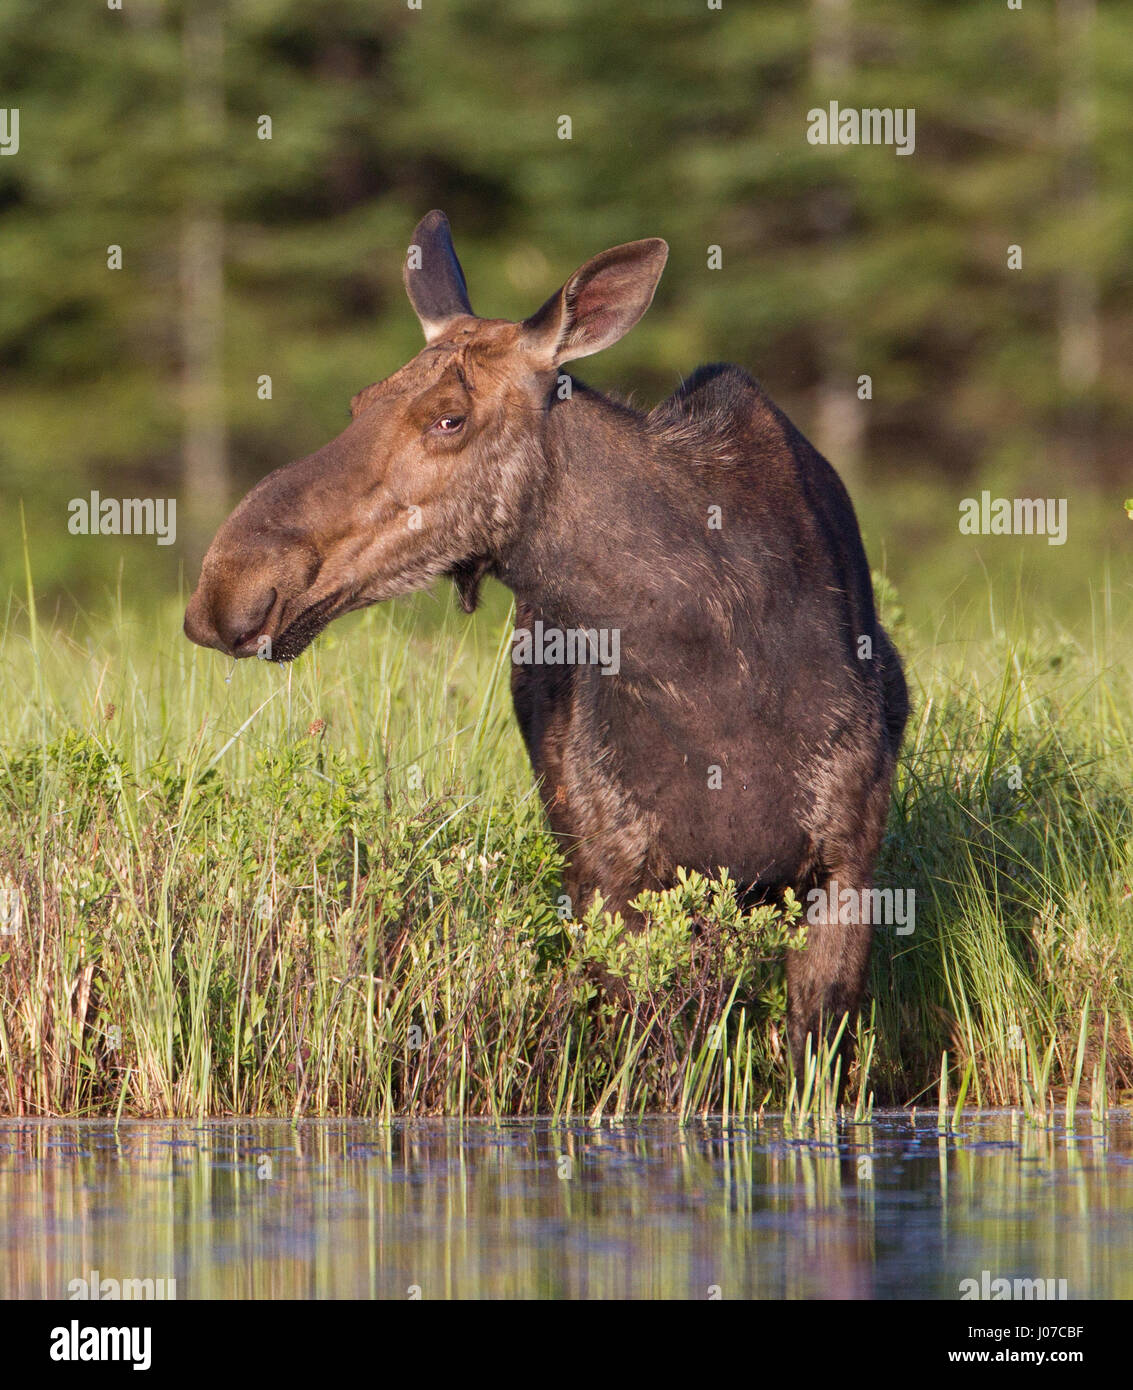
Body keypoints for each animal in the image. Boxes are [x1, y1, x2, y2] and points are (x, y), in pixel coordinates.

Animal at [187, 211, 911, 1067]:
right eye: (360, 400)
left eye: (449, 417)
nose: (228, 586)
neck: (713, 669)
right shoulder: (616, 874)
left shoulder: (846, 861)